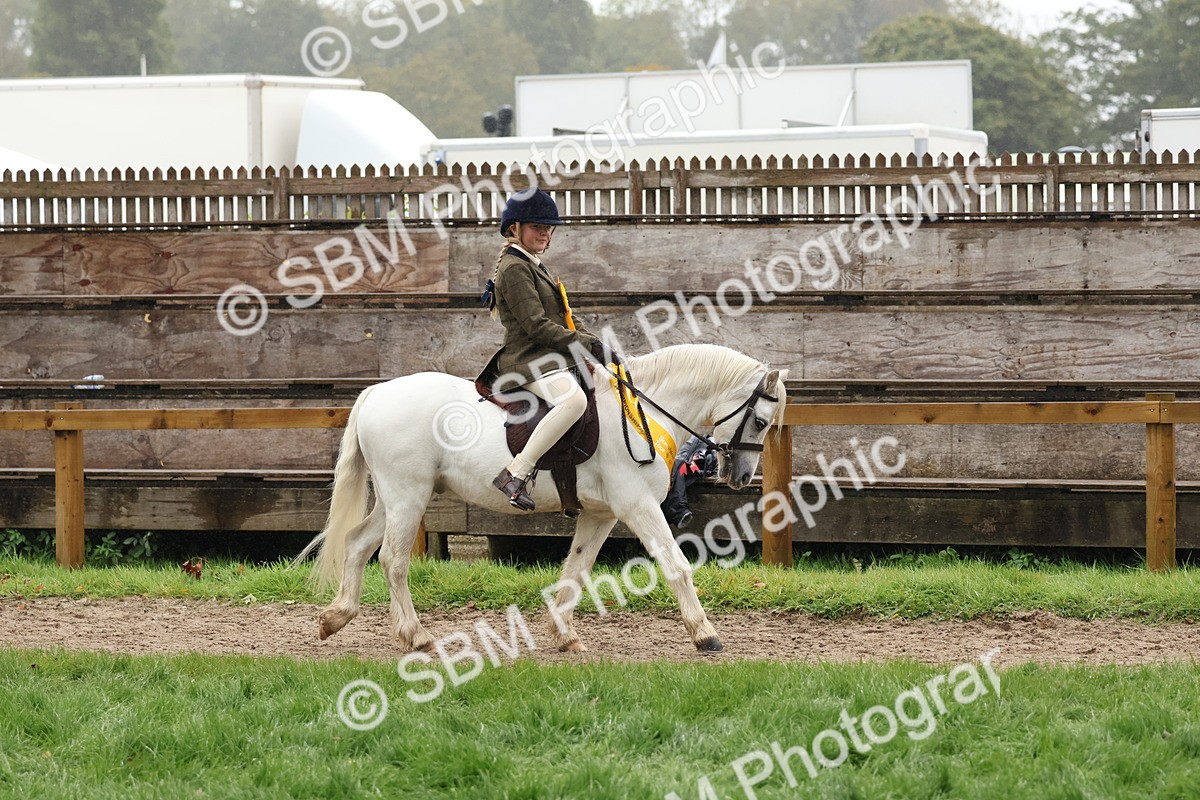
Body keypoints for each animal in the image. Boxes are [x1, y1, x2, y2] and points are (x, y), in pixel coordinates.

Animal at [297, 343, 788, 654]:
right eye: (761, 421)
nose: (741, 477)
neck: (641, 412)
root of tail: (378, 390)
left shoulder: (602, 515)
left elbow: (577, 570)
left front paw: (563, 634)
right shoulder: (638, 507)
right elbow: (676, 566)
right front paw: (705, 635)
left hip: (397, 499)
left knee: (357, 544)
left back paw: (335, 617)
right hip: (408, 496)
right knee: (393, 561)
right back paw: (415, 636)